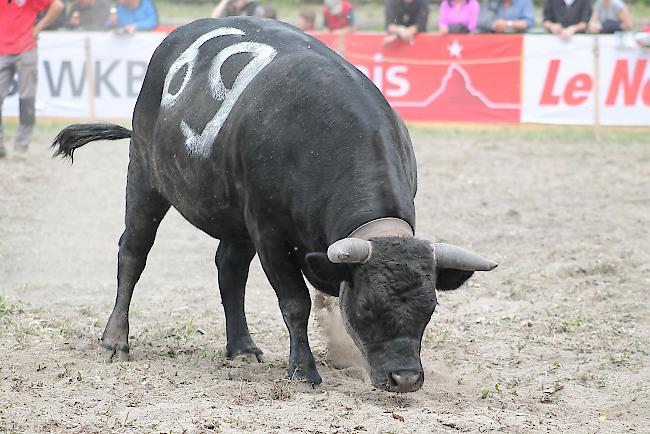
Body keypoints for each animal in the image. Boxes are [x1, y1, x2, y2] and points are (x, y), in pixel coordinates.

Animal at [52, 17, 496, 394]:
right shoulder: (268, 233)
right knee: (133, 252)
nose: (404, 379)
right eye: (367, 306)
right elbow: (296, 302)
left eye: (430, 308)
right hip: (145, 175)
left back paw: (242, 347)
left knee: (229, 269)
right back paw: (115, 341)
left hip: (232, 216)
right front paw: (304, 370)